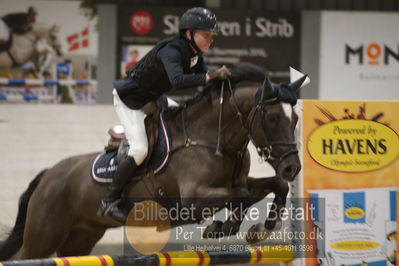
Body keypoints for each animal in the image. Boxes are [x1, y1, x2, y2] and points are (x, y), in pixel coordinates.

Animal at [0, 62, 306, 260]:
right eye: (272, 118)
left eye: (296, 119)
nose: (293, 168)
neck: (213, 140)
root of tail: (50, 174)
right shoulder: (192, 200)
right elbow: (241, 196)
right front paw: (223, 227)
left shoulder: (240, 182)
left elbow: (274, 186)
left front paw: (260, 229)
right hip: (43, 235)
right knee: (30, 254)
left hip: (81, 236)